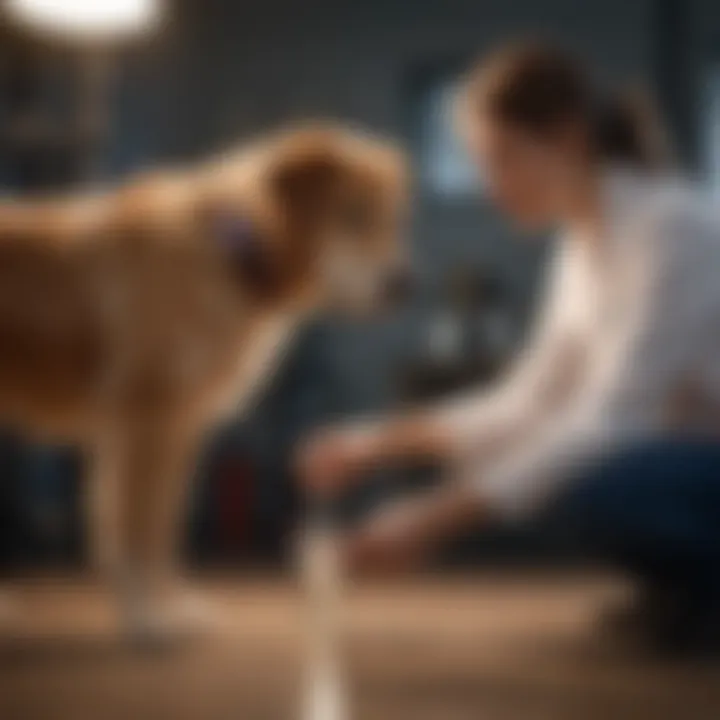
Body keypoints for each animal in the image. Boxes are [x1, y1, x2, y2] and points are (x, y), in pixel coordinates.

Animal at [0, 125, 408, 640]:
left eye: (389, 220)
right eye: (352, 214)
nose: (404, 284)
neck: (233, 254)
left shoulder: (178, 428)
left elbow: (162, 524)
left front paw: (168, 606)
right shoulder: (146, 421)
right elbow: (137, 526)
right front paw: (149, 617)